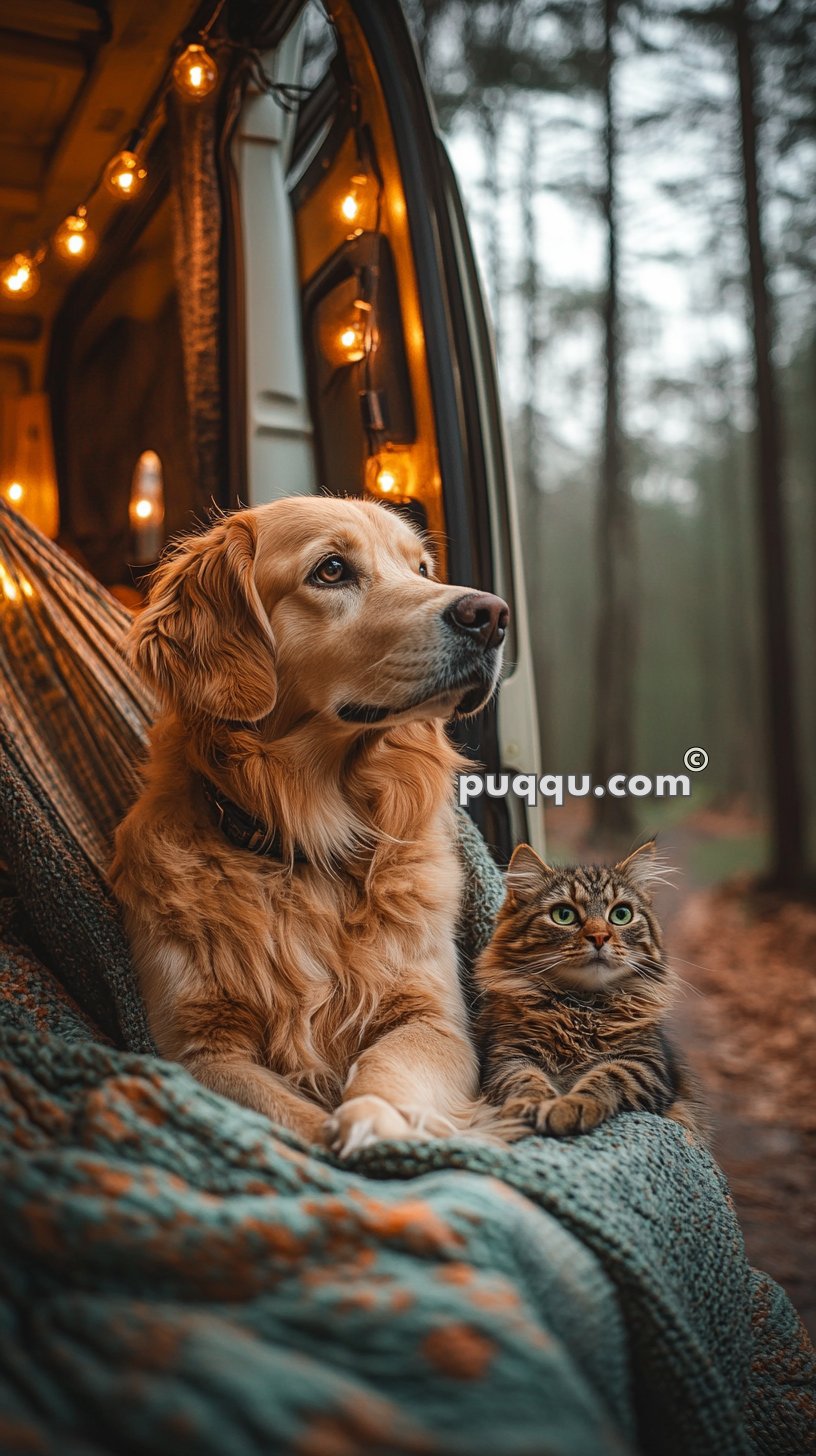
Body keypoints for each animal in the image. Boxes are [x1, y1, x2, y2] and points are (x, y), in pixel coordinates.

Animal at [111, 495, 507, 1153]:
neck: (310, 840)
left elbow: (389, 1062)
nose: (492, 615)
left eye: (422, 569)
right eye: (331, 570)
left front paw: (376, 1115)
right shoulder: (197, 1050)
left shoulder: (436, 1016)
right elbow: (282, 1113)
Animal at [475, 838, 705, 1141]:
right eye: (563, 915)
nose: (599, 936)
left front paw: (570, 1106)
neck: (582, 1005)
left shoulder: (645, 1062)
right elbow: (524, 1080)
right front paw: (531, 1105)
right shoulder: (507, 1054)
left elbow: (607, 1076)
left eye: (621, 915)